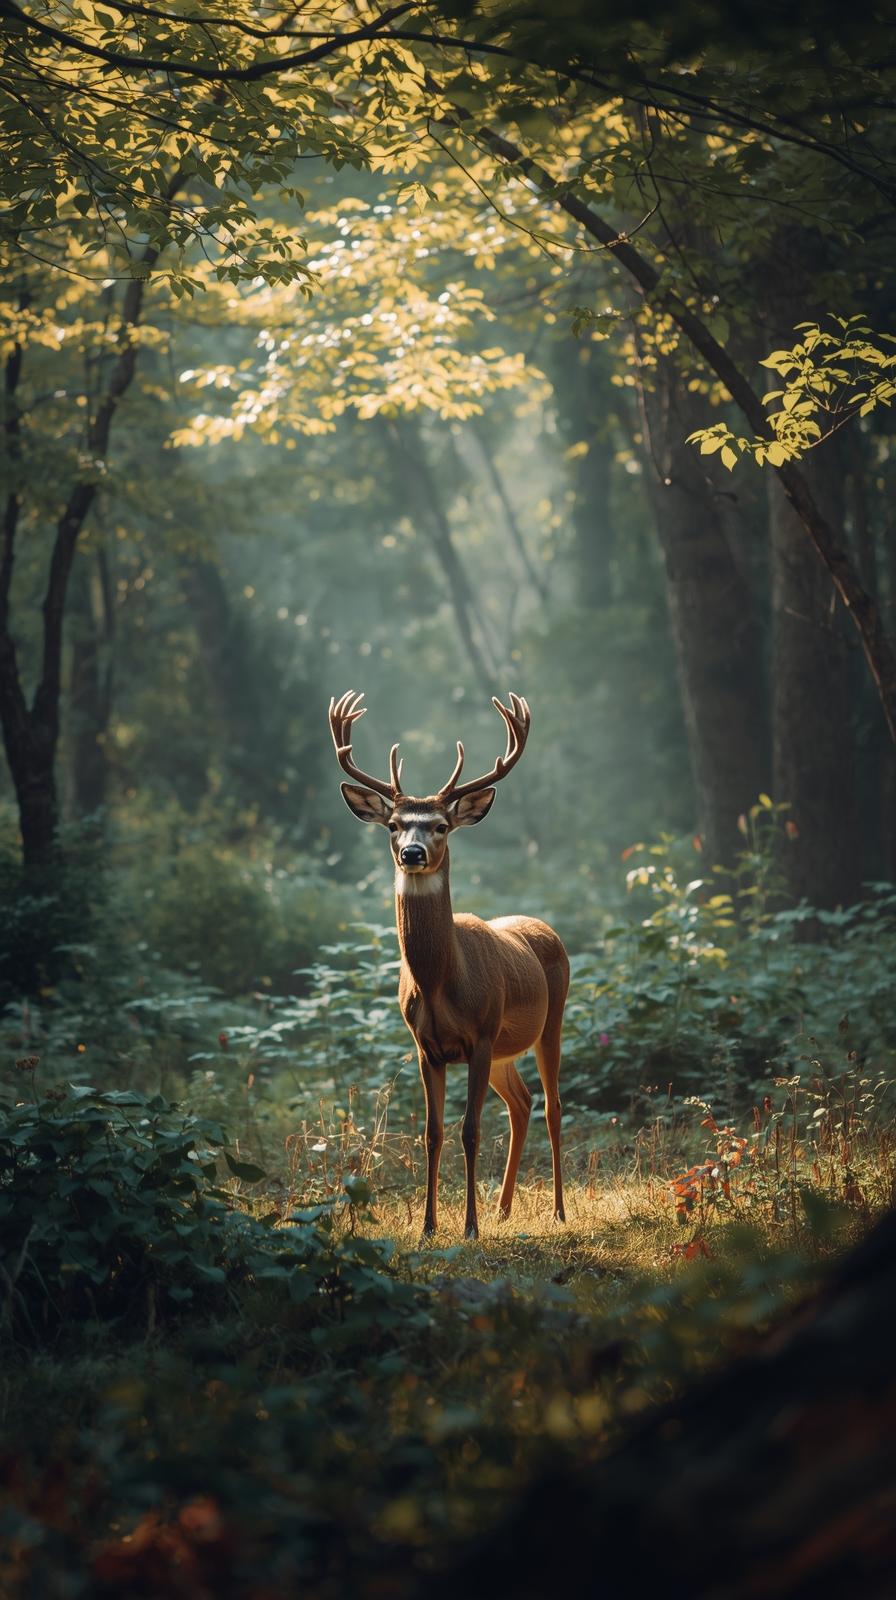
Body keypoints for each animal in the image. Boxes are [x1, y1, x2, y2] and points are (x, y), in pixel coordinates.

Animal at [328, 688, 569, 1240]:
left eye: (440, 825)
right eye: (394, 825)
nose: (413, 852)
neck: (441, 981)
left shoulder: (479, 1035)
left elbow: (470, 1131)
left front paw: (469, 1228)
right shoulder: (426, 1047)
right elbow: (432, 1133)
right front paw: (429, 1226)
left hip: (550, 1023)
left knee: (552, 1107)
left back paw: (558, 1211)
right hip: (504, 1051)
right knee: (522, 1103)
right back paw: (504, 1208)